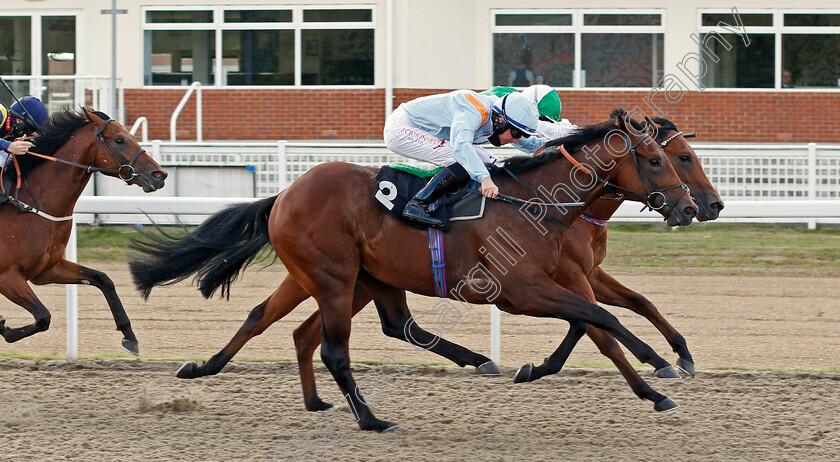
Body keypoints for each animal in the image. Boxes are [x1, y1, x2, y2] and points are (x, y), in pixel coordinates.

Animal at [0, 108, 167, 354]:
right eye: (119, 139)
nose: (159, 175)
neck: (27, 203)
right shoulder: (7, 276)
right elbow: (43, 317)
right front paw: (4, 327)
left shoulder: (48, 269)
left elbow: (103, 279)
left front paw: (129, 335)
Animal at [130, 113, 696, 432]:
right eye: (656, 160)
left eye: (674, 157)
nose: (692, 208)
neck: (534, 201)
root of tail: (286, 193)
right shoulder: (522, 291)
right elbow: (603, 321)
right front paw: (659, 367)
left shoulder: (555, 282)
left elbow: (597, 321)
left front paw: (658, 378)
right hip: (334, 277)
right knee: (334, 346)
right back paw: (371, 419)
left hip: (356, 279)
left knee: (301, 322)